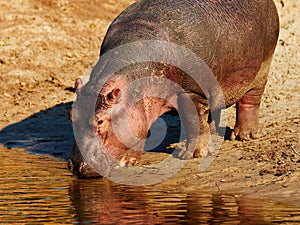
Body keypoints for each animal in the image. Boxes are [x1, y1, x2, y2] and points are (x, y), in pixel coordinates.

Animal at [68, 0, 278, 178]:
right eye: (71, 116)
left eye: (100, 121)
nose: (77, 167)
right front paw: (128, 161)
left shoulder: (191, 92)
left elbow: (194, 121)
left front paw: (193, 154)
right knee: (214, 110)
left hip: (262, 68)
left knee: (250, 101)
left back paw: (245, 136)